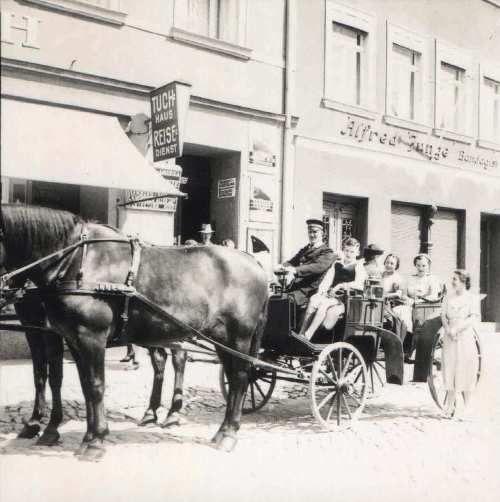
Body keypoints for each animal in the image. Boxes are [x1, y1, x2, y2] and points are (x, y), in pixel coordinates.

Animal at [0, 204, 270, 458]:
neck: (76, 259)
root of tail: (254, 262)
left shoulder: (89, 337)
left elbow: (94, 385)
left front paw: (94, 440)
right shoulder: (72, 339)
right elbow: (81, 385)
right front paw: (84, 436)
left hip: (238, 337)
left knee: (239, 378)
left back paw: (227, 433)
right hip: (217, 338)